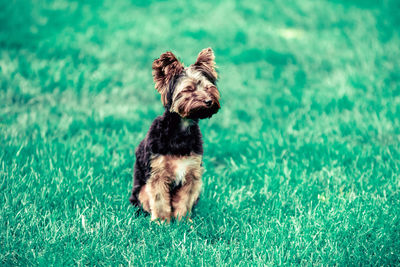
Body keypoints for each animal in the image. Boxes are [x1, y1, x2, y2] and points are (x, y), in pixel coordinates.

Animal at [129, 47, 220, 222]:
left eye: (208, 88)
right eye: (188, 89)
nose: (209, 101)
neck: (180, 131)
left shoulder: (191, 173)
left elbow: (184, 200)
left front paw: (183, 222)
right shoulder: (157, 173)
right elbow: (159, 200)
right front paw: (162, 222)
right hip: (141, 190)